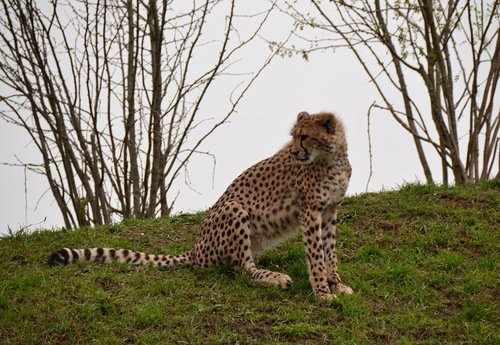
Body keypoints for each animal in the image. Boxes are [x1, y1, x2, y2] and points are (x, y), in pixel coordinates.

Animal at [49, 111, 352, 300]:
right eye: (294, 136)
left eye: (304, 136)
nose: (294, 152)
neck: (331, 159)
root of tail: (195, 249)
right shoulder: (310, 212)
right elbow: (316, 256)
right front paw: (322, 293)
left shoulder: (329, 211)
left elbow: (329, 252)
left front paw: (336, 285)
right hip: (234, 208)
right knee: (242, 268)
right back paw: (273, 277)